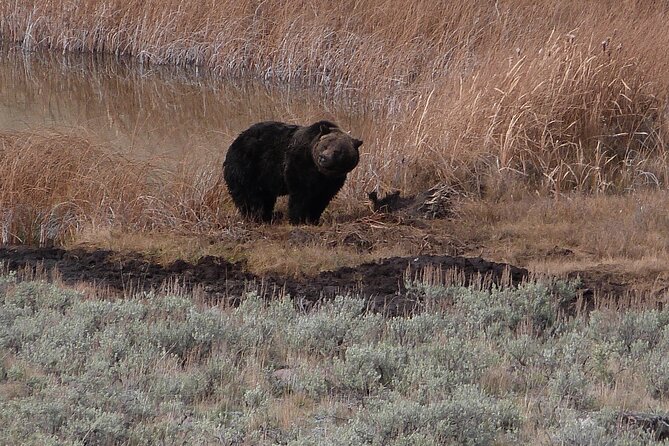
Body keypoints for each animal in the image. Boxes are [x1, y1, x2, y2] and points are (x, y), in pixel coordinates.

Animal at [223, 120, 360, 225]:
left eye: (337, 151)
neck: (319, 171)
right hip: (248, 167)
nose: (323, 158)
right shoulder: (299, 165)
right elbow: (301, 195)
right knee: (250, 196)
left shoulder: (332, 181)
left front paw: (313, 219)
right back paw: (257, 217)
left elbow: (321, 198)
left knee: (266, 197)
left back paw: (268, 216)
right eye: (324, 146)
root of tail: (235, 141)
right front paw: (298, 219)